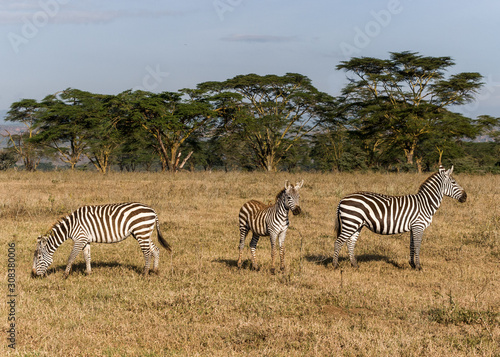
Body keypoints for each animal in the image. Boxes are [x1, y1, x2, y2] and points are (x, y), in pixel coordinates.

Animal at [31, 202, 172, 276]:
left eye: (39, 257)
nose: (34, 274)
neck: (70, 227)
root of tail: (153, 211)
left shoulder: (79, 239)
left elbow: (71, 257)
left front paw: (65, 275)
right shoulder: (85, 240)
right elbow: (87, 256)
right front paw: (88, 273)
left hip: (141, 232)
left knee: (147, 252)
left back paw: (144, 273)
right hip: (143, 233)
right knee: (155, 249)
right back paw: (155, 270)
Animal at [334, 165, 466, 268]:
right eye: (454, 182)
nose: (466, 197)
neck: (425, 203)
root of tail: (342, 199)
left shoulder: (413, 227)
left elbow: (412, 246)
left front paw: (412, 264)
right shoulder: (418, 225)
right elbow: (417, 246)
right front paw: (418, 267)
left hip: (356, 224)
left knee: (350, 242)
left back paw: (355, 265)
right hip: (351, 222)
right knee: (338, 242)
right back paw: (335, 265)